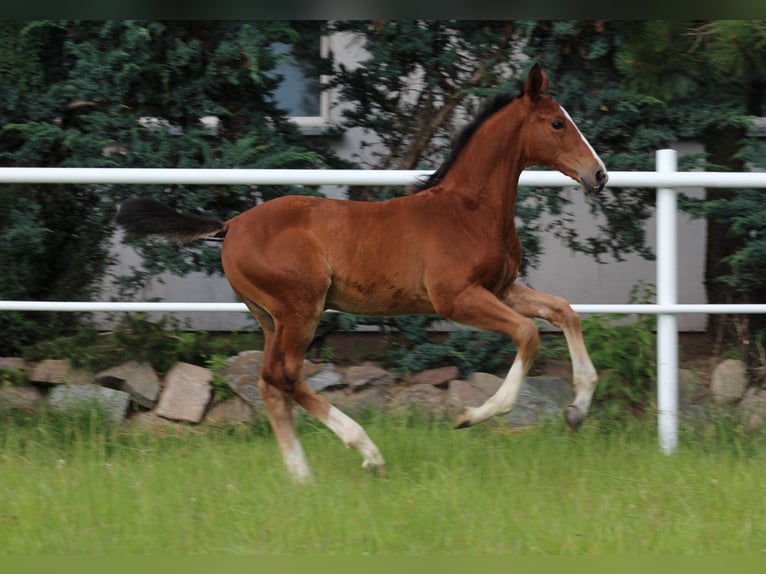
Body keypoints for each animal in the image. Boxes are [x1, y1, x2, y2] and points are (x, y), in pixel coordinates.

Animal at [115, 65, 608, 484]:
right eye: (557, 123)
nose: (599, 174)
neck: (469, 210)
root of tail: (231, 224)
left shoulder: (499, 288)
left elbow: (565, 312)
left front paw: (577, 410)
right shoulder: (455, 297)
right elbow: (528, 334)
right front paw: (471, 416)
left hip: (269, 316)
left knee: (269, 383)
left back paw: (302, 477)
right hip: (301, 308)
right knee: (284, 375)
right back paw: (367, 452)